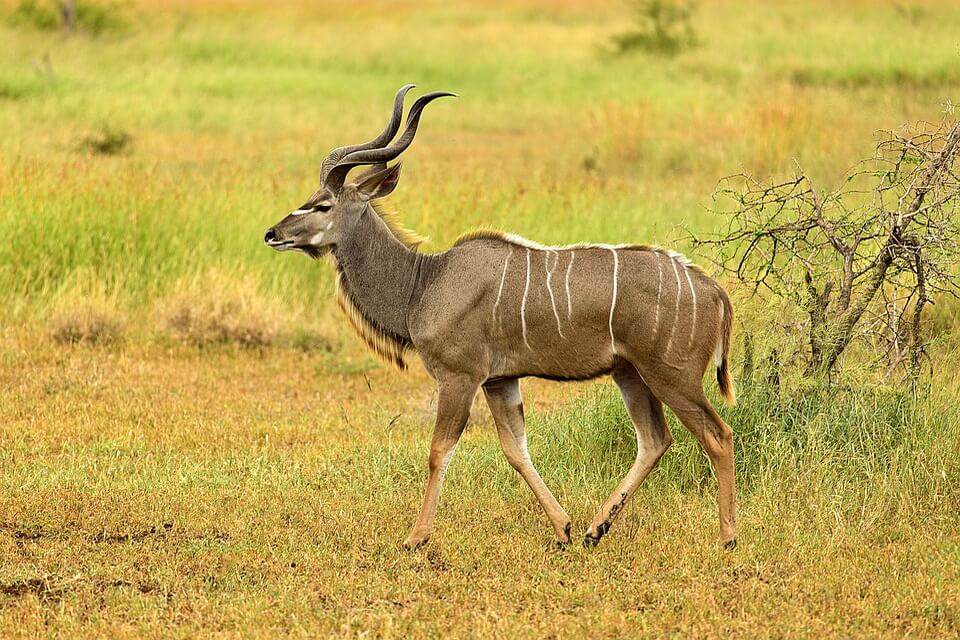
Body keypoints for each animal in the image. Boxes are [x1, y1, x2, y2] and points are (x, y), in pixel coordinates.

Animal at [266, 85, 740, 552]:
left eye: (322, 205)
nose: (272, 234)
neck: (423, 282)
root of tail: (713, 291)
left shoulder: (460, 377)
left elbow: (439, 451)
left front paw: (416, 538)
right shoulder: (500, 381)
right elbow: (516, 450)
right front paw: (563, 529)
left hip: (671, 376)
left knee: (718, 436)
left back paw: (728, 538)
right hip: (630, 373)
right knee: (655, 440)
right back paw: (595, 530)